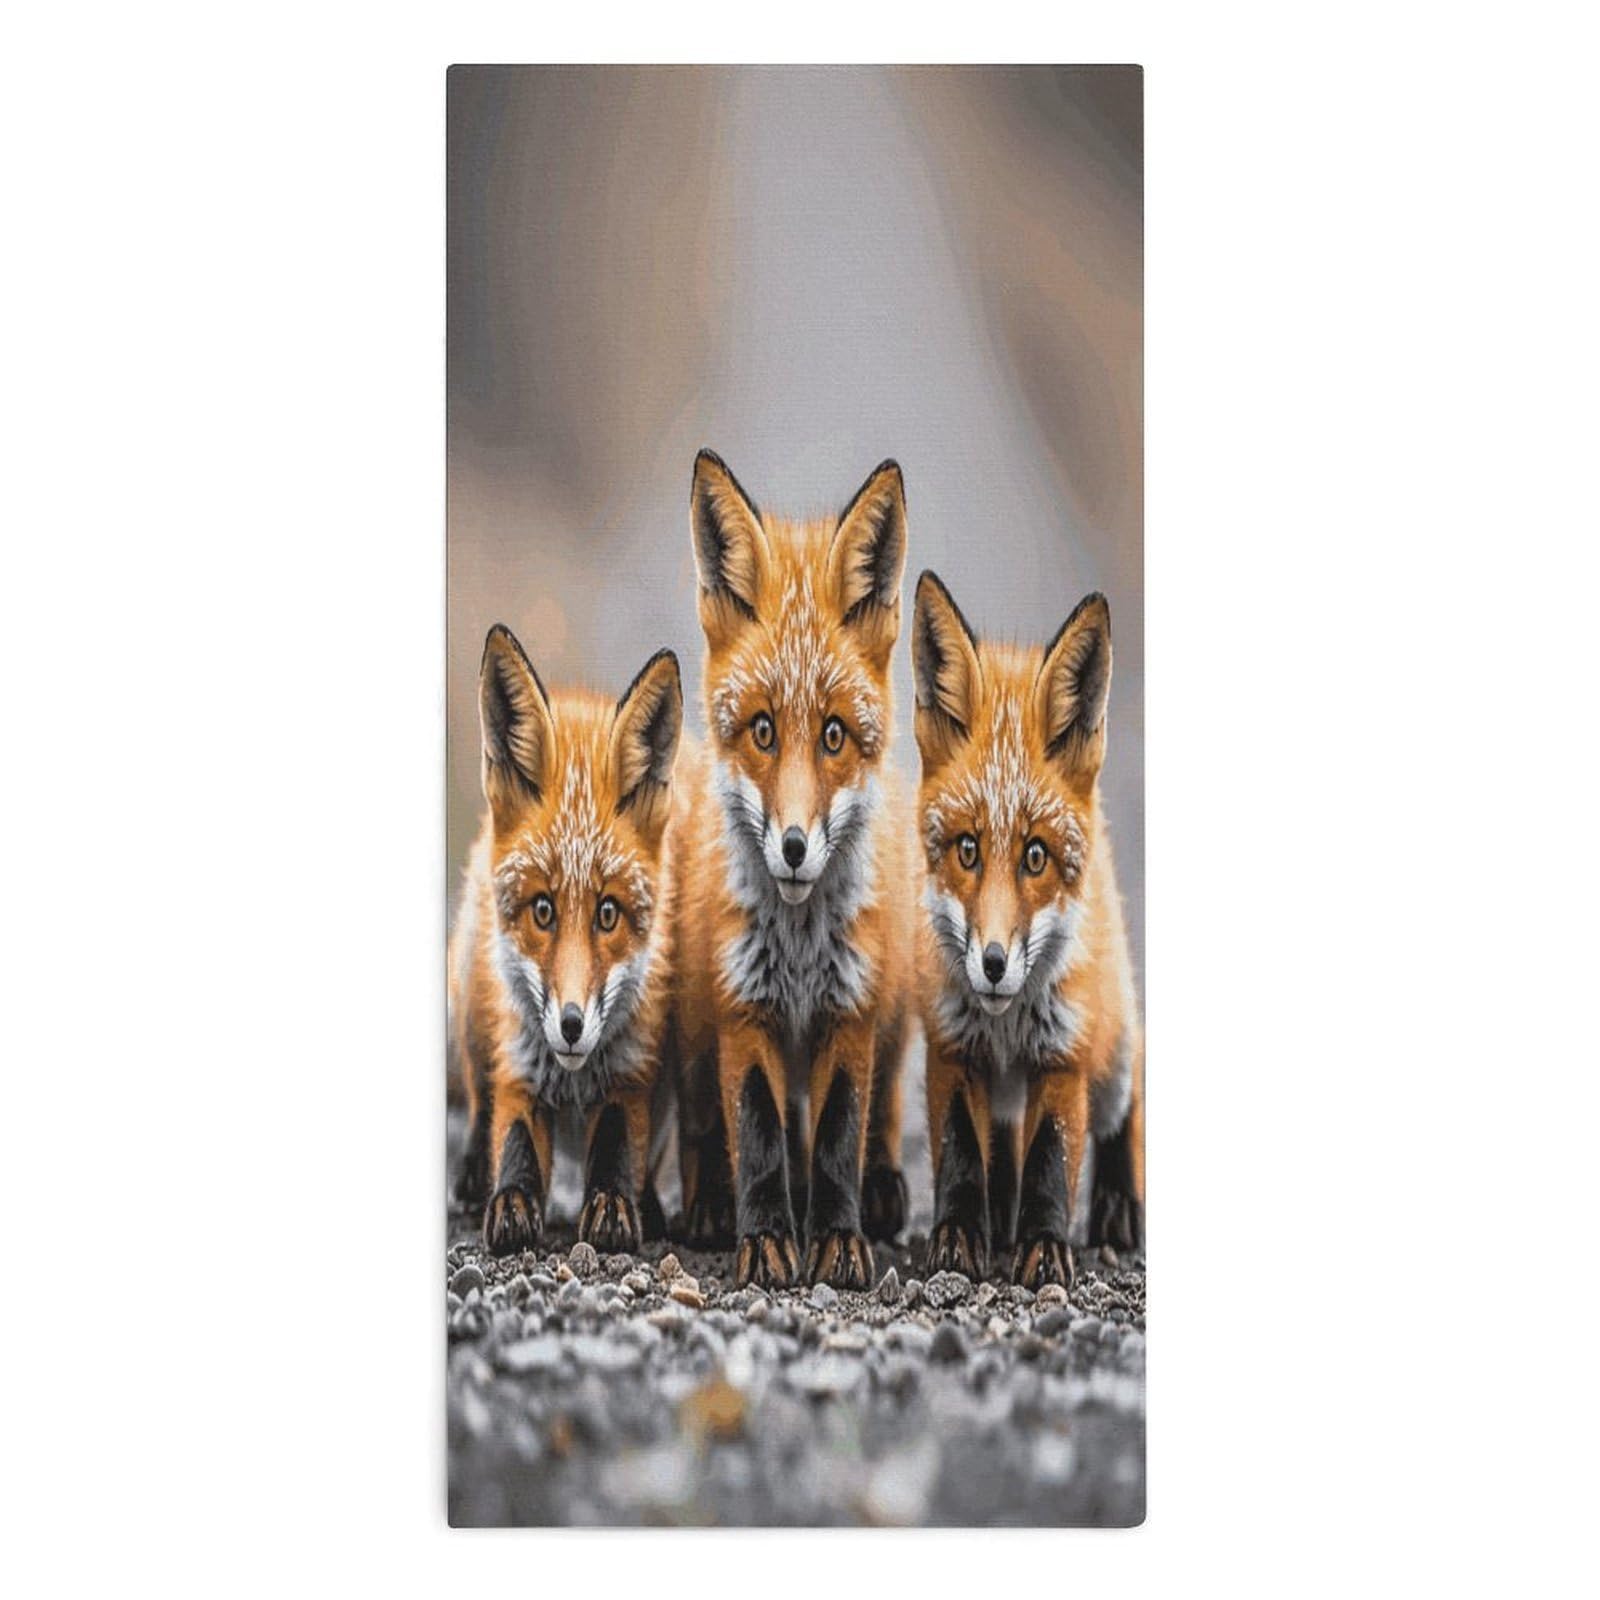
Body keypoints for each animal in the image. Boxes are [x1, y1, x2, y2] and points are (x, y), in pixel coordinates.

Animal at [448, 623, 684, 1257]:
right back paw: (472, 1176)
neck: (573, 1080)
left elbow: (619, 1144)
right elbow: (514, 1140)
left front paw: (615, 1204)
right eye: (543, 910)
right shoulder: (517, 1061)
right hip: (470, 1004)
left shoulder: (634, 1070)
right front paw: (509, 1200)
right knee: (475, 1099)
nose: (572, 1025)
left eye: (607, 913)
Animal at [671, 449, 917, 1289]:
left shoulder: (852, 1009)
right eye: (763, 730)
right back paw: (713, 1205)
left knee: (881, 1111)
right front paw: (769, 1237)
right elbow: (757, 1132)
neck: (801, 948)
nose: (795, 847)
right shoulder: (742, 1010)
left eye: (834, 734)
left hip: (897, 1006)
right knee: (710, 1123)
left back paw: (881, 1189)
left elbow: (841, 1130)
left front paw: (837, 1238)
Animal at [911, 572, 1143, 1290]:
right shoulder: (952, 1046)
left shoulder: (1063, 1056)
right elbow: (961, 1150)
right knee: (1001, 1141)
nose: (991, 963)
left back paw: (1119, 1209)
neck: (1008, 1022)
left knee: (1127, 1100)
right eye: (967, 849)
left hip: (1112, 1057)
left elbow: (1051, 1158)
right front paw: (960, 1235)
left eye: (1034, 857)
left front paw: (1042, 1247)